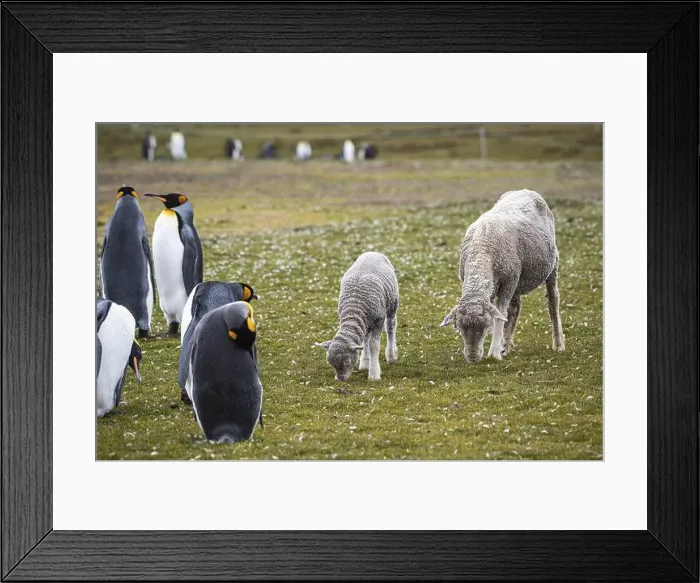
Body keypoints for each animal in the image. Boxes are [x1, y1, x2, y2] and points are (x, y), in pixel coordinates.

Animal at [315, 251, 399, 381]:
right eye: (330, 363)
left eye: (347, 361)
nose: (340, 379)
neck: (353, 310)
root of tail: (372, 252)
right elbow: (364, 343)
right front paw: (366, 363)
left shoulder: (379, 320)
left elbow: (374, 346)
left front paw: (374, 374)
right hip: (367, 321)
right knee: (366, 337)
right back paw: (365, 361)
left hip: (392, 302)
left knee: (391, 327)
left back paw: (391, 355)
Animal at [441, 189, 565, 363]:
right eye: (459, 327)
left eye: (486, 327)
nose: (472, 357)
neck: (481, 250)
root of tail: (525, 190)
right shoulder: (495, 284)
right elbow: (503, 313)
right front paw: (499, 347)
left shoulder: (508, 283)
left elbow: (500, 315)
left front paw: (494, 352)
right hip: (517, 279)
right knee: (515, 308)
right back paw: (506, 345)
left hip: (551, 265)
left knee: (553, 301)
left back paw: (558, 344)